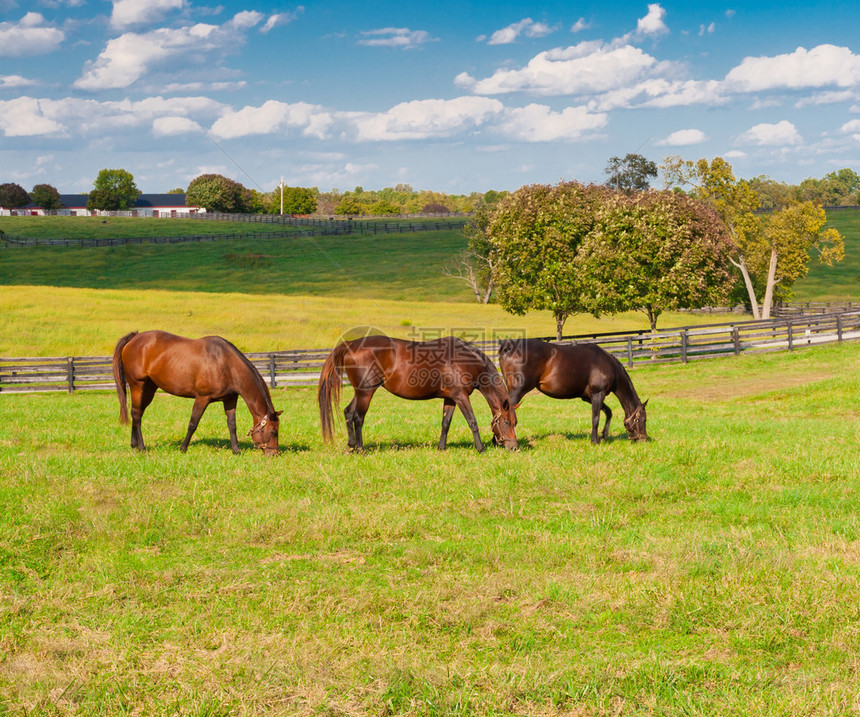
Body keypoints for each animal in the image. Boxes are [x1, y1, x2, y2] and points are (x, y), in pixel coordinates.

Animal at [111, 330, 282, 454]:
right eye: (273, 432)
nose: (273, 454)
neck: (226, 363)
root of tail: (135, 337)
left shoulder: (230, 399)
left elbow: (232, 425)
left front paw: (236, 450)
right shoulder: (202, 398)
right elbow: (193, 423)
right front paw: (183, 448)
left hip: (149, 388)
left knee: (138, 413)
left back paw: (134, 444)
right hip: (137, 385)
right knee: (136, 414)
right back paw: (142, 448)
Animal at [318, 332, 512, 450]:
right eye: (507, 422)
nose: (513, 447)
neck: (465, 361)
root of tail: (351, 344)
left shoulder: (451, 398)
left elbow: (445, 423)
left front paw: (441, 448)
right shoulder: (461, 396)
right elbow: (472, 421)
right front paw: (481, 449)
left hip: (360, 392)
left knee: (348, 412)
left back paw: (351, 445)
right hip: (366, 392)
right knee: (358, 417)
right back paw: (360, 448)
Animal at [498, 338, 644, 442]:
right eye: (643, 419)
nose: (644, 439)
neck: (609, 365)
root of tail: (509, 347)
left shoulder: (588, 397)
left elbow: (608, 412)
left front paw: (603, 435)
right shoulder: (598, 394)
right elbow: (595, 418)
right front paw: (595, 440)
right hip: (517, 392)